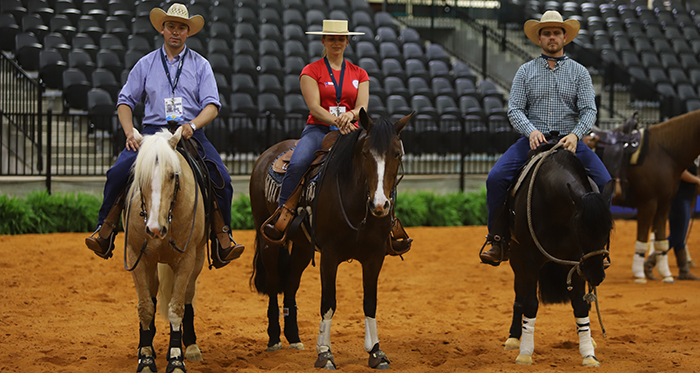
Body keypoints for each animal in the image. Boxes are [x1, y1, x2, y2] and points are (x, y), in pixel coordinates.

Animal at [123, 126, 206, 370]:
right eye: (141, 176)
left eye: (173, 175)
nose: (154, 228)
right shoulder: (136, 257)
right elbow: (145, 307)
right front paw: (146, 357)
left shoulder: (186, 260)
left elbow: (176, 308)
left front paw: (176, 358)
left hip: (197, 261)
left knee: (187, 297)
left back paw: (191, 346)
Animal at [249, 108, 410, 370]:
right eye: (365, 153)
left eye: (397, 153)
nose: (380, 205)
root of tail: (266, 155)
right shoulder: (329, 256)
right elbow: (328, 303)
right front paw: (325, 354)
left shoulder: (375, 256)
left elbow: (370, 302)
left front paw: (376, 352)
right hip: (269, 242)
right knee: (274, 285)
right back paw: (274, 339)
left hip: (303, 248)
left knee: (291, 284)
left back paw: (294, 337)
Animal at [504, 142, 612, 366]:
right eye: (579, 229)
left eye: (609, 229)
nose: (597, 275)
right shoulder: (529, 258)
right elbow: (530, 303)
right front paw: (525, 353)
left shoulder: (577, 262)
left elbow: (580, 305)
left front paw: (588, 354)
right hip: (516, 258)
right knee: (520, 293)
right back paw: (513, 337)